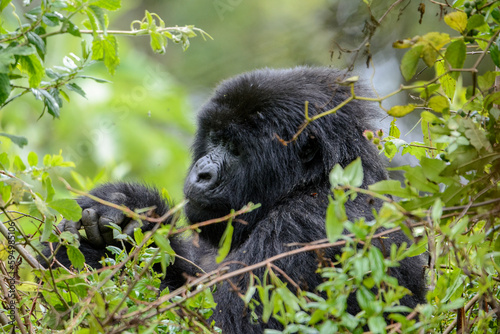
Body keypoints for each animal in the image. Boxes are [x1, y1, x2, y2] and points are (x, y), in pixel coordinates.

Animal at [43, 66, 426, 332]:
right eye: (214, 137)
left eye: (236, 148)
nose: (202, 173)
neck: (318, 179)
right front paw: (125, 211)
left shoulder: (306, 228)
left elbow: (215, 322)